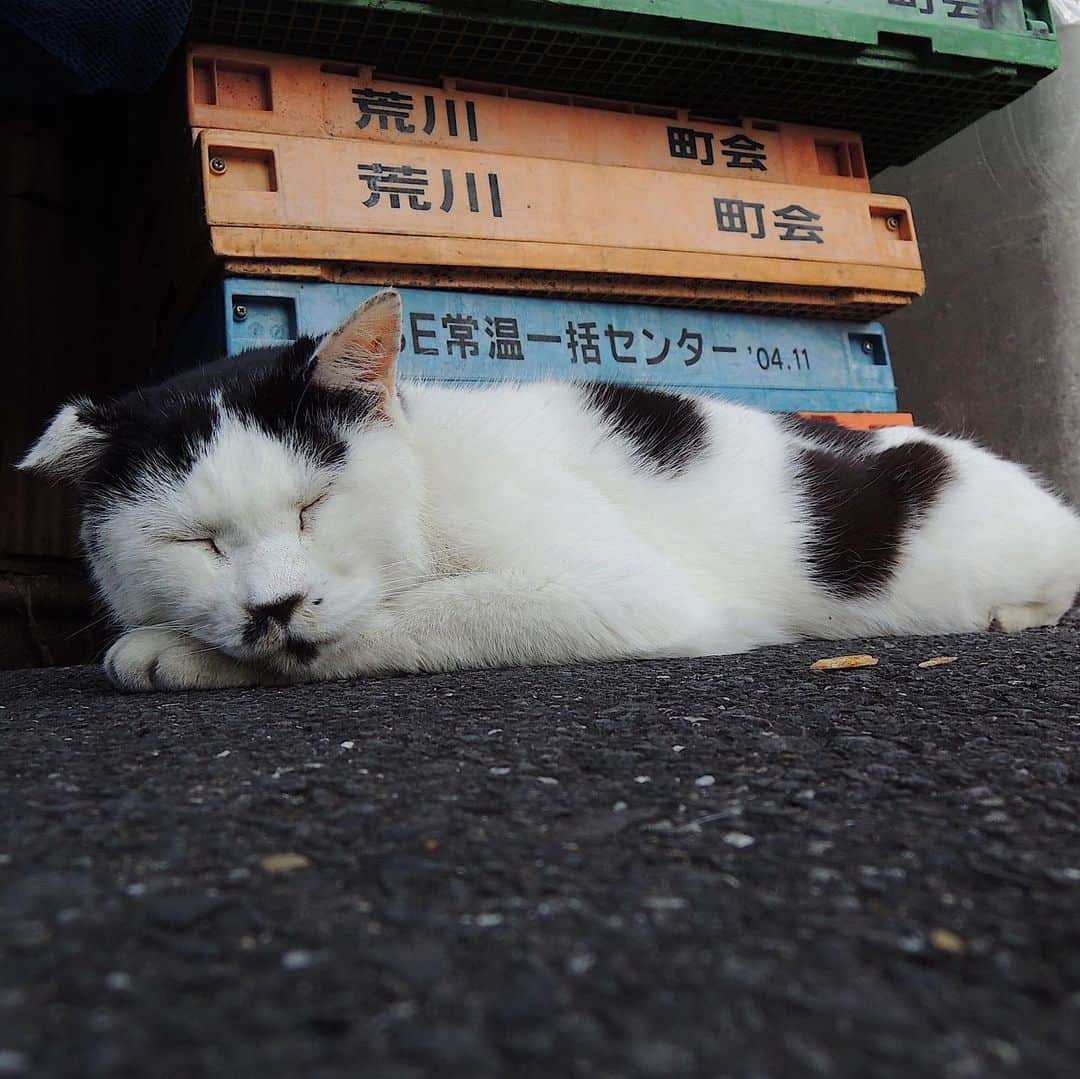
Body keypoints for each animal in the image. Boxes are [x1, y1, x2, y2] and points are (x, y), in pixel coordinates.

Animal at [16, 289, 1080, 691]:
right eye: (199, 542)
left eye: (314, 508)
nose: (272, 603)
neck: (430, 477)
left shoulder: (623, 593)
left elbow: (395, 622)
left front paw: (178, 653)